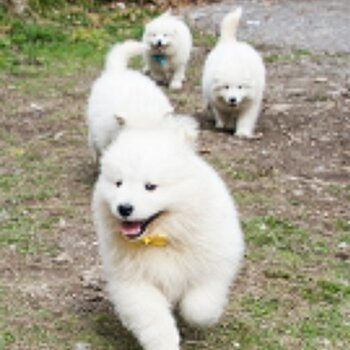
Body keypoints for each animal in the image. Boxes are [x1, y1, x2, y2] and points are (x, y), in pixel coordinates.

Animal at [93, 119, 246, 350]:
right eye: (118, 183)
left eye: (150, 187)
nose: (124, 208)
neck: (162, 239)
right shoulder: (133, 281)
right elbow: (152, 317)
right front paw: (164, 342)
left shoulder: (212, 267)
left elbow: (199, 307)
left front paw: (203, 317)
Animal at [202, 7, 266, 137]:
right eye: (226, 87)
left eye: (240, 87)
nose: (233, 99)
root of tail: (230, 42)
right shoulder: (216, 99)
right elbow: (223, 113)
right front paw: (225, 125)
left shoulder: (251, 101)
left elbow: (246, 118)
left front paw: (242, 133)